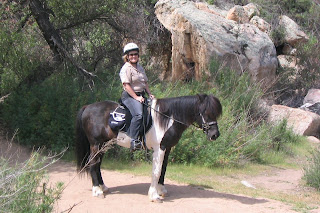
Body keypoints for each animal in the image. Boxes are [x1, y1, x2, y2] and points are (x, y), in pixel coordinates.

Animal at [74, 94, 222, 202]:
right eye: (205, 112)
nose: (215, 135)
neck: (168, 118)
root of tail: (87, 107)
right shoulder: (159, 148)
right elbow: (156, 171)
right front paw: (154, 195)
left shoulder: (167, 148)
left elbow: (163, 169)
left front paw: (161, 190)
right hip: (96, 144)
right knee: (93, 164)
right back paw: (97, 191)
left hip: (103, 145)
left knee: (98, 165)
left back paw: (103, 187)